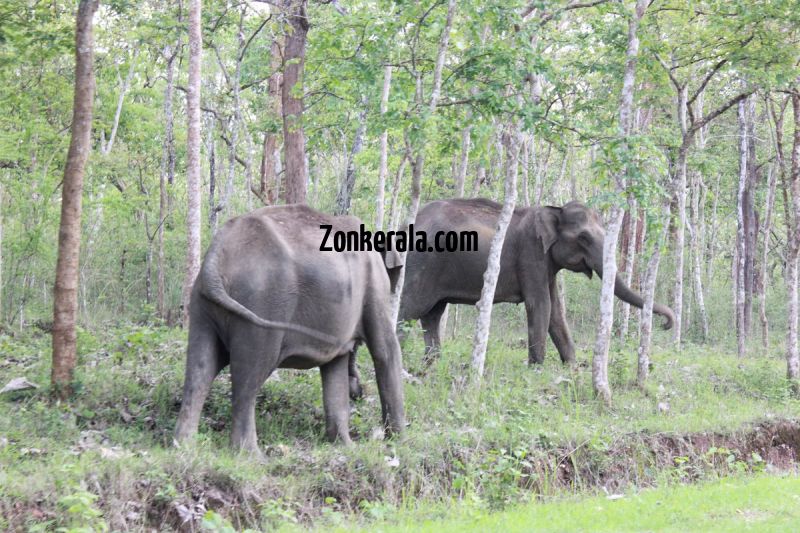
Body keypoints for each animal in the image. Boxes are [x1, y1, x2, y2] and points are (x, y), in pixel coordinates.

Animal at [174, 204, 406, 454]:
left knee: (200, 367)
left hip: (202, 305)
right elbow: (385, 350)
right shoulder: (375, 286)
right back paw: (251, 455)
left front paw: (344, 445)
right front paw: (397, 442)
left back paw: (183, 446)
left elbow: (335, 367)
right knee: (250, 374)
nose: (359, 392)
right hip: (262, 302)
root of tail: (215, 256)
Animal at [396, 200, 672, 366]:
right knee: (409, 309)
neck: (552, 210)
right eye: (583, 237)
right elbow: (540, 305)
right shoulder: (531, 254)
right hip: (420, 265)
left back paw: (432, 363)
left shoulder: (547, 265)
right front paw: (537, 369)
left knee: (432, 315)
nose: (667, 324)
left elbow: (556, 311)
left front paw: (572, 367)